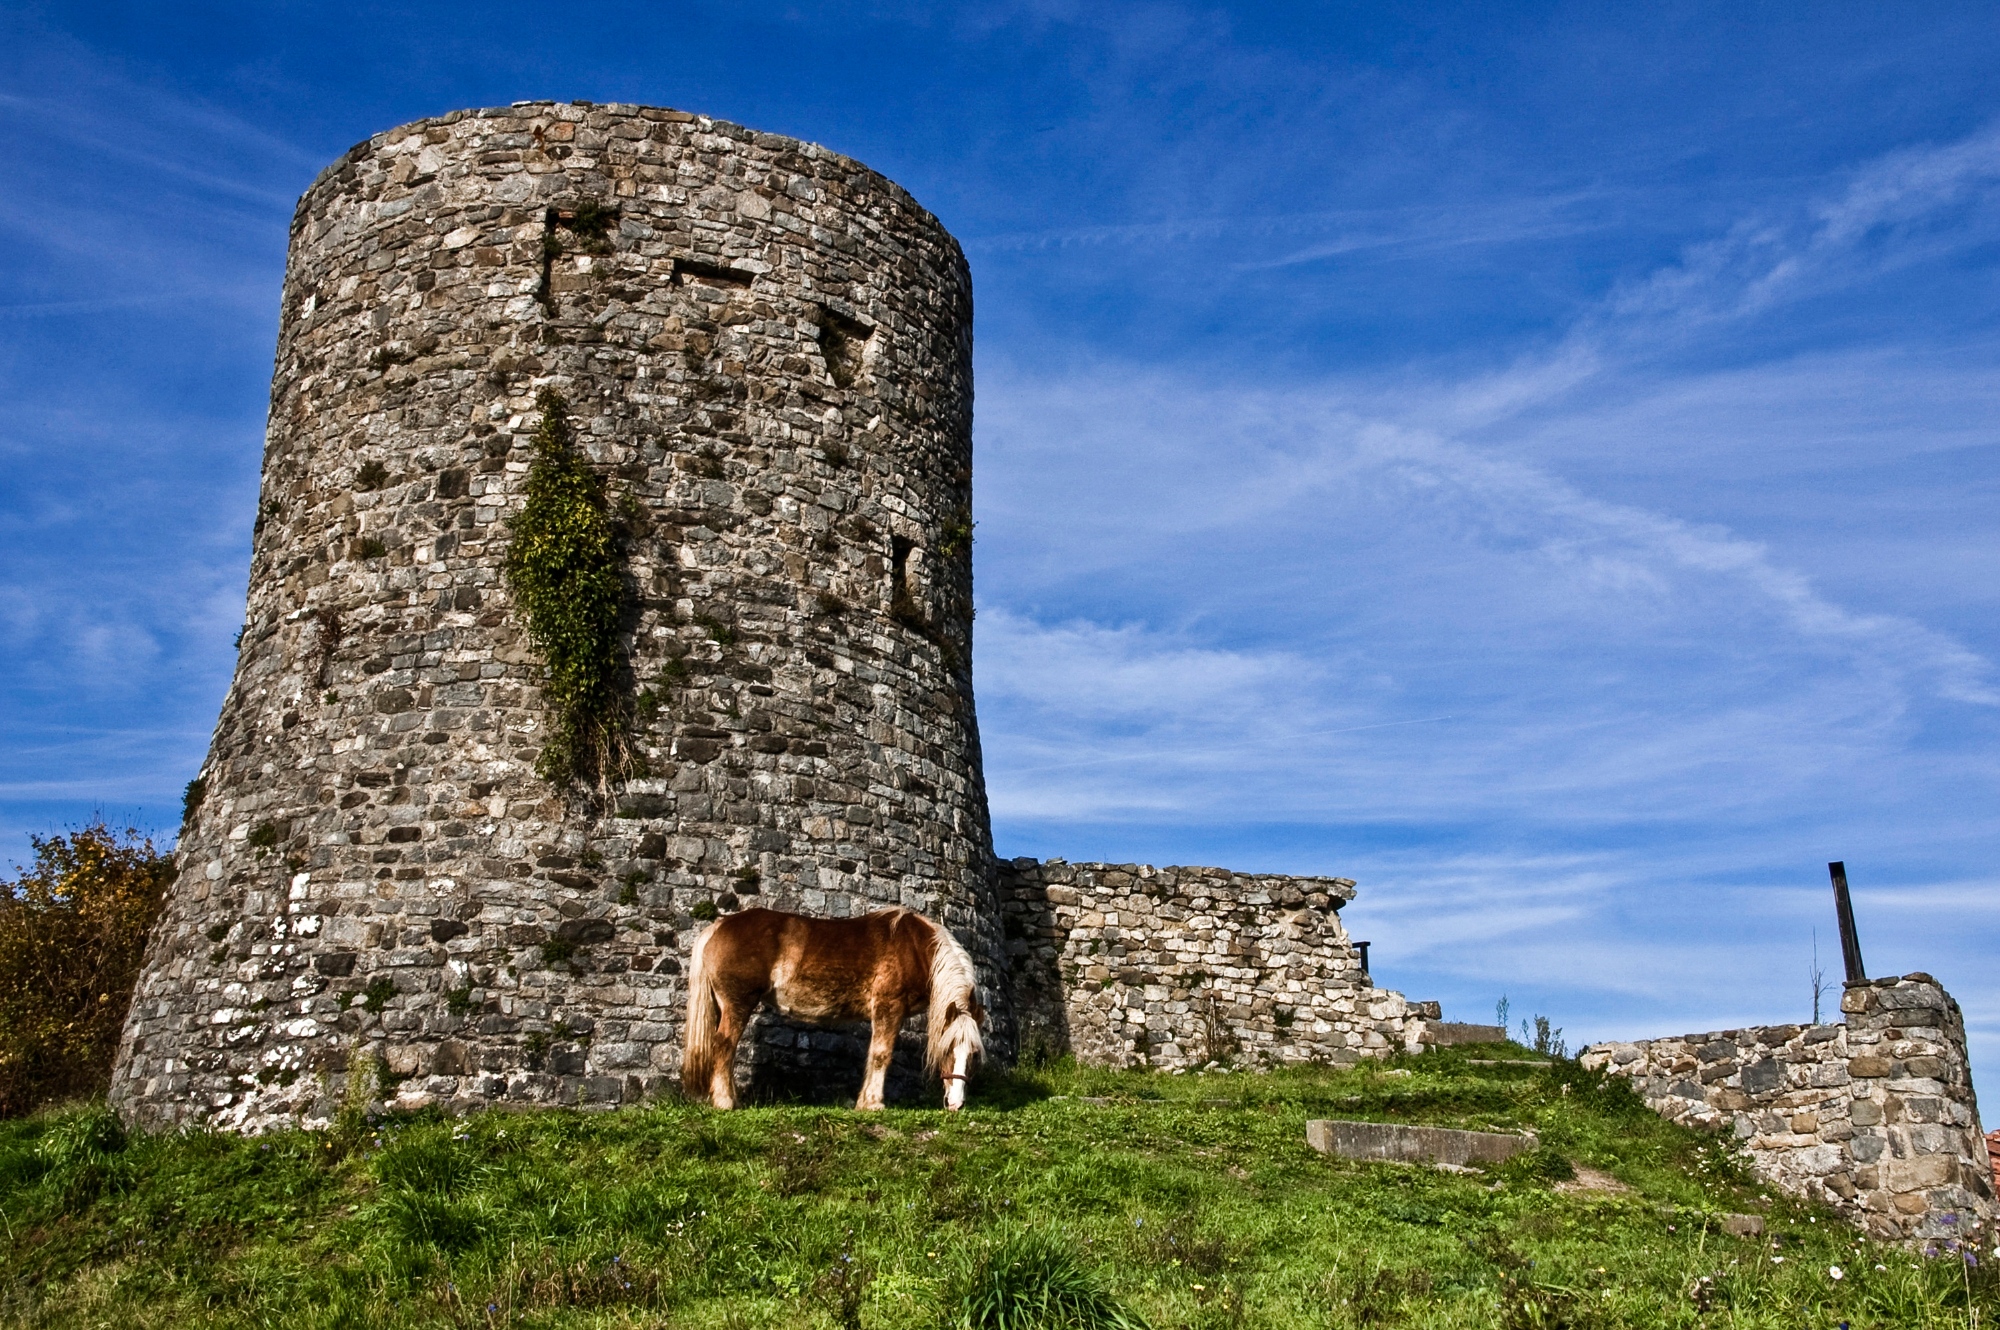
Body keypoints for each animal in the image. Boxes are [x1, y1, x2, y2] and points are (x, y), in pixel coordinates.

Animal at [684, 904, 988, 1112]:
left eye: (973, 1054)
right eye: (948, 1050)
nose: (956, 1103)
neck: (915, 948)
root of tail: (718, 926)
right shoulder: (889, 1006)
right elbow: (881, 1054)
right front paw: (873, 1104)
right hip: (737, 1003)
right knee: (724, 1045)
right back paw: (726, 1101)